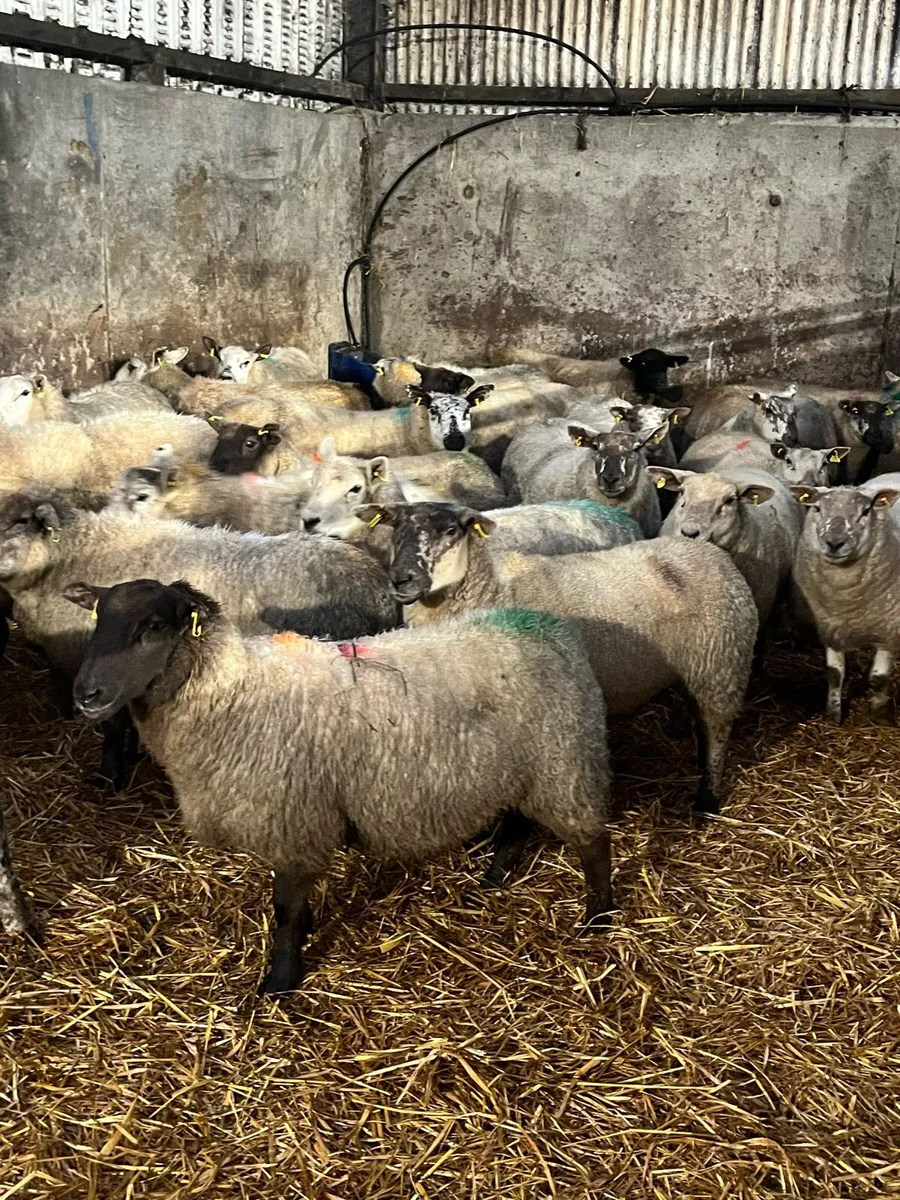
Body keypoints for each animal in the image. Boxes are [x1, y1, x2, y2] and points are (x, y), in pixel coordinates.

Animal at [70, 578, 613, 991]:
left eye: (153, 627)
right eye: (96, 619)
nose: (86, 693)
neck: (230, 691)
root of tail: (550, 626)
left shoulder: (294, 820)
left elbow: (285, 909)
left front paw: (280, 981)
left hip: (565, 760)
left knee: (593, 842)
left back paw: (599, 917)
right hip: (523, 768)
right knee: (519, 821)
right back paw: (496, 875)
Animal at [362, 500, 757, 815]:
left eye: (449, 531)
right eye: (395, 527)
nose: (401, 579)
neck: (491, 586)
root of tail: (716, 556)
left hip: (721, 666)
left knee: (716, 733)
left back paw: (706, 798)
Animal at [791, 477, 900, 724]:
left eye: (866, 511)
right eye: (817, 508)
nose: (834, 542)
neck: (847, 600)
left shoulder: (888, 628)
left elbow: (879, 677)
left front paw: (880, 712)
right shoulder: (831, 626)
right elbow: (835, 673)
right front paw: (833, 714)